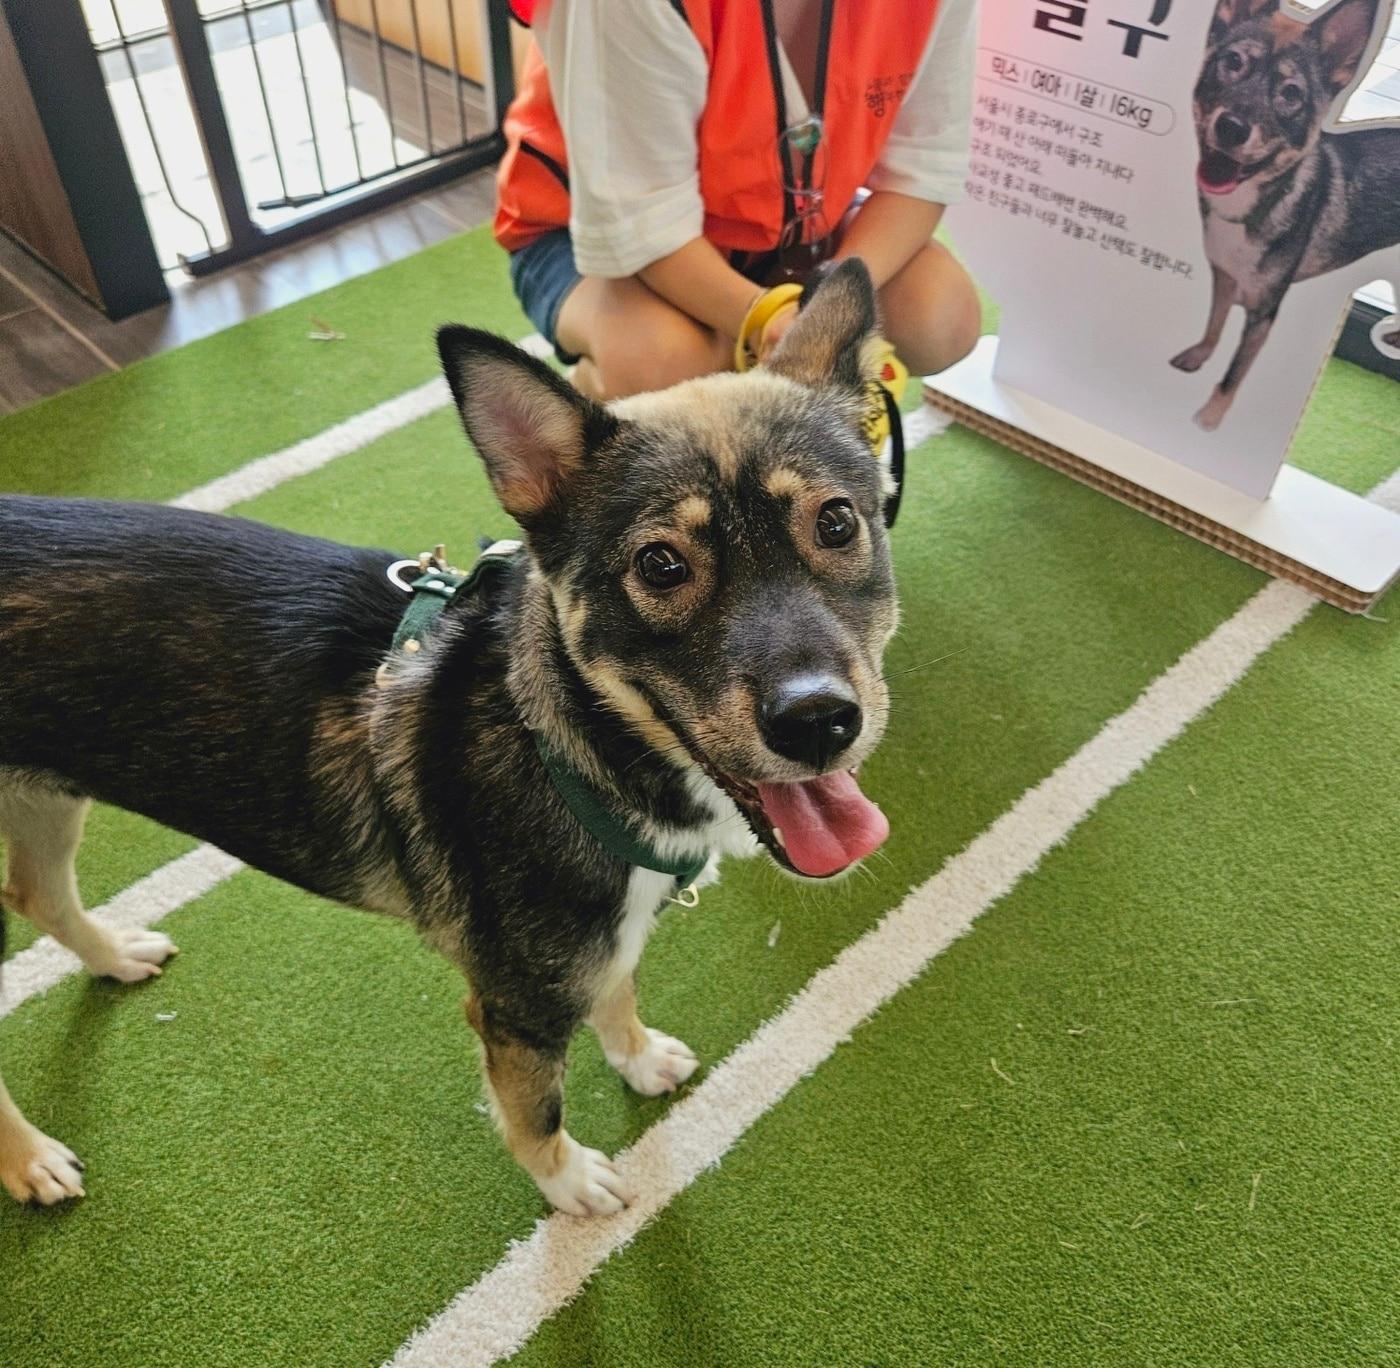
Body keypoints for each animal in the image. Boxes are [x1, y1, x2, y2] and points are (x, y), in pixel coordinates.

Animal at [0, 259, 896, 1215]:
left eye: (838, 522)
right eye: (660, 565)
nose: (820, 721)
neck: (564, 750)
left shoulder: (597, 946)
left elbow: (617, 995)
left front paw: (640, 1058)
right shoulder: (513, 1006)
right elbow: (535, 1109)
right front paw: (570, 1183)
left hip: (49, 794)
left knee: (39, 894)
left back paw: (112, 955)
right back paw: (29, 1159)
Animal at [1170, 0, 1400, 428]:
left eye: (1291, 93)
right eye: (1233, 61)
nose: (1232, 127)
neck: (1250, 206)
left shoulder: (1264, 313)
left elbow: (1232, 375)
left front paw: (1208, 419)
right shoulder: (1222, 277)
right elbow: (1214, 324)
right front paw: (1199, 355)